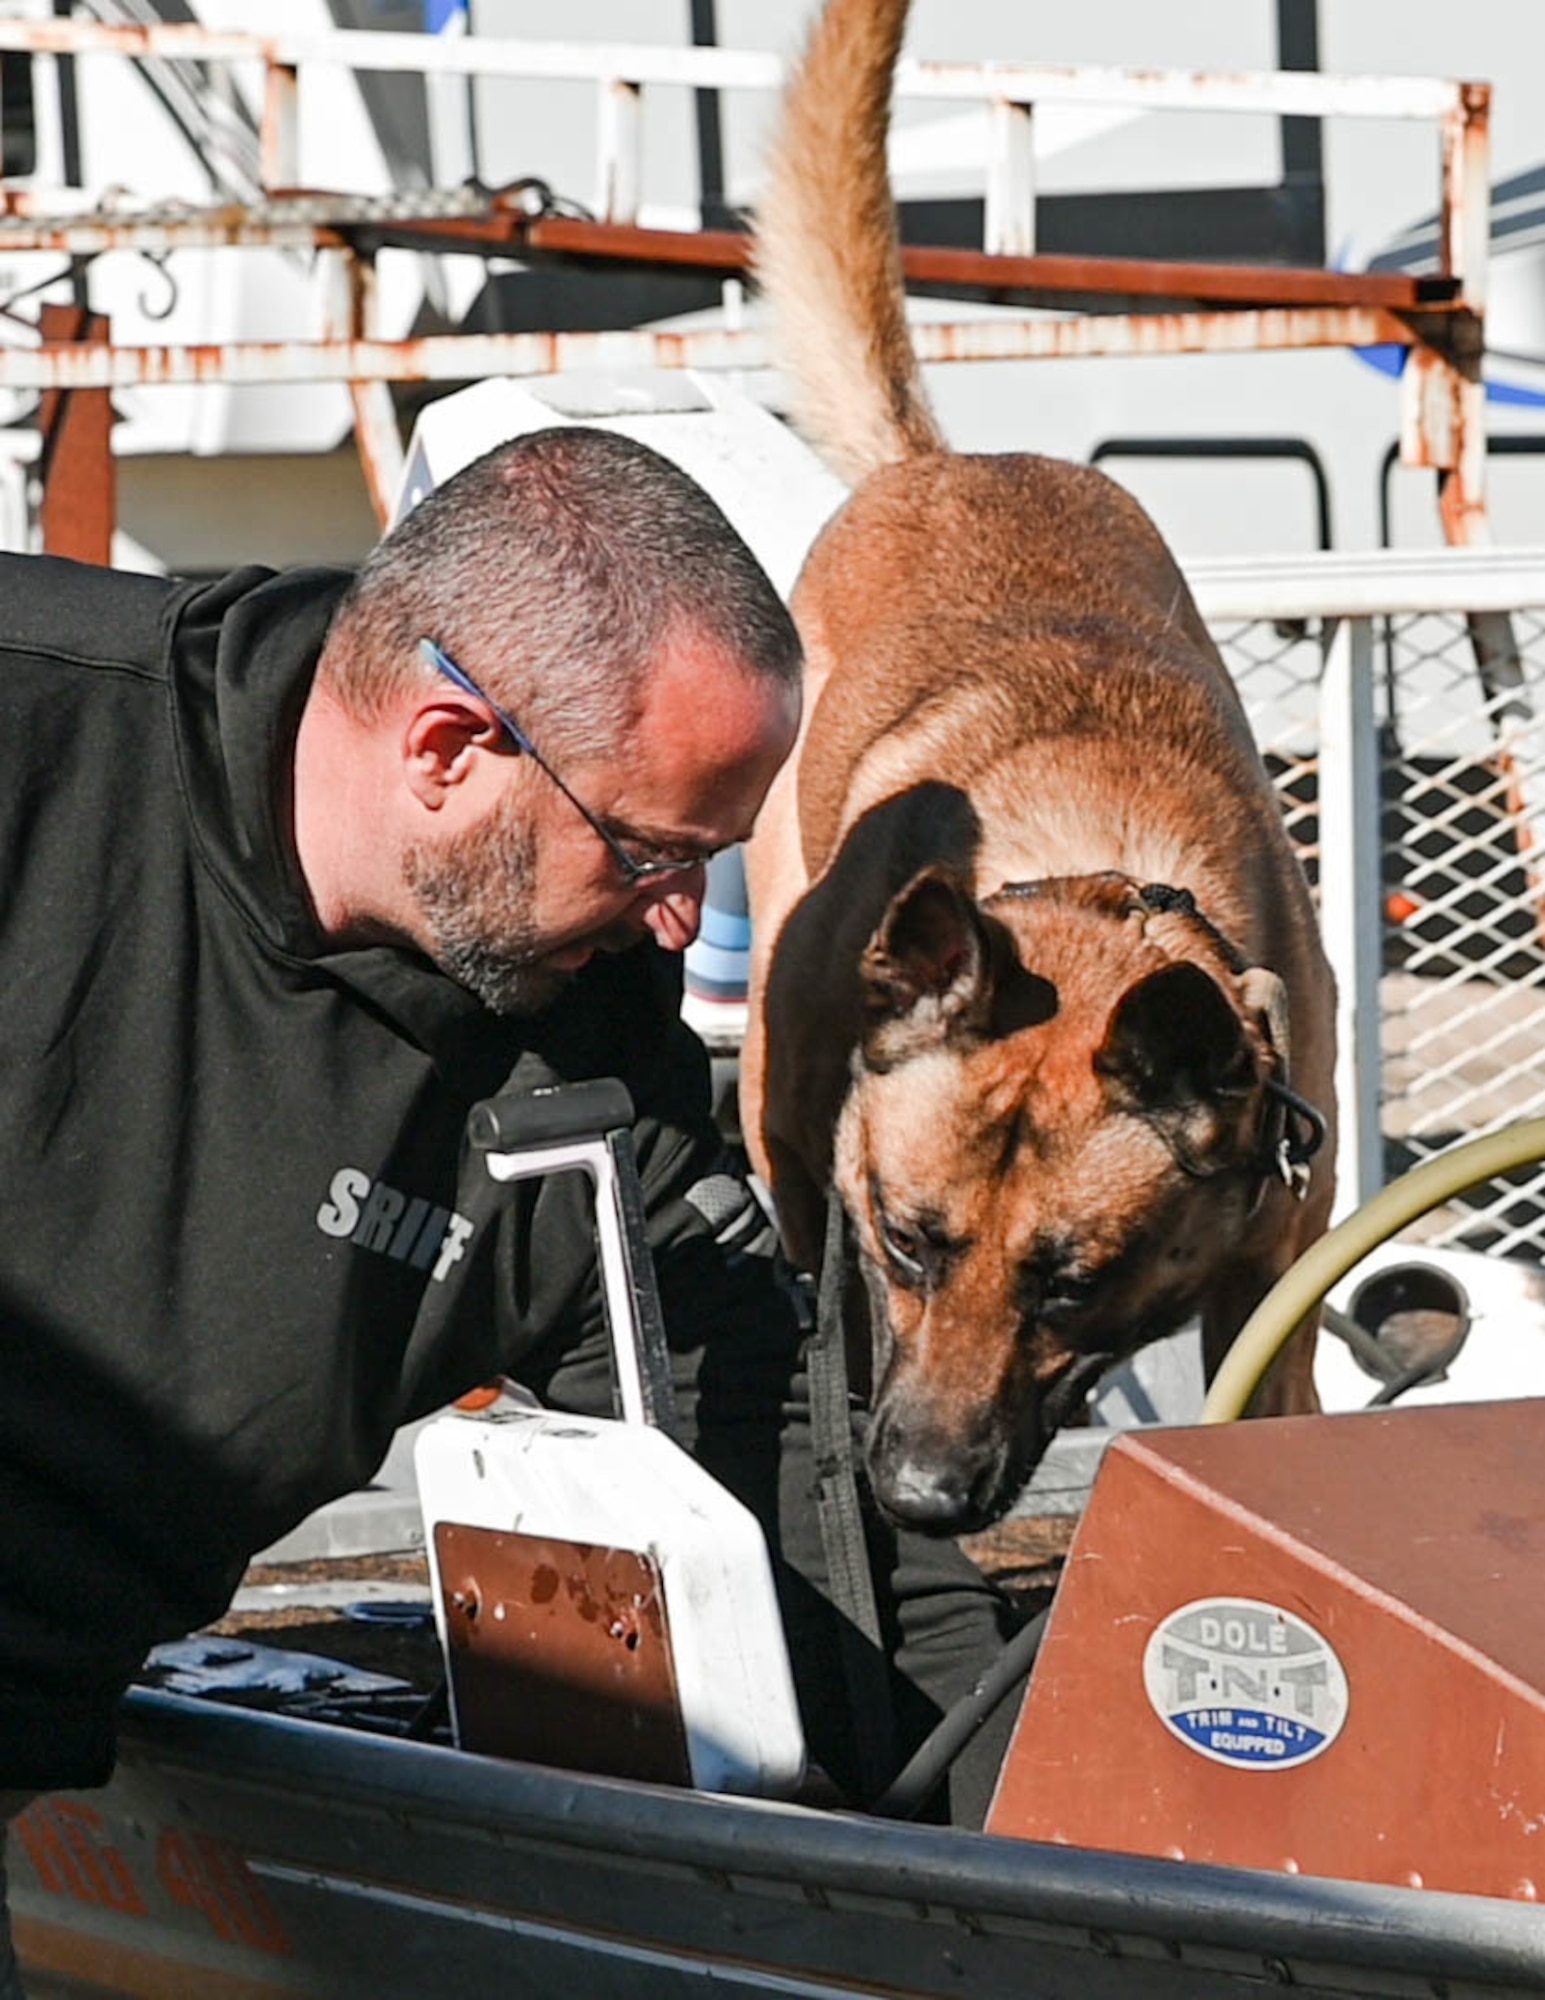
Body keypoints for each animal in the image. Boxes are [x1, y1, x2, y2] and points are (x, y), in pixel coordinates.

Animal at [740, 0, 1336, 1536]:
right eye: (906, 1243)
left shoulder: (1272, 1301)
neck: (1085, 876)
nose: (915, 1497)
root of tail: (944, 458)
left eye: (1071, 1283)